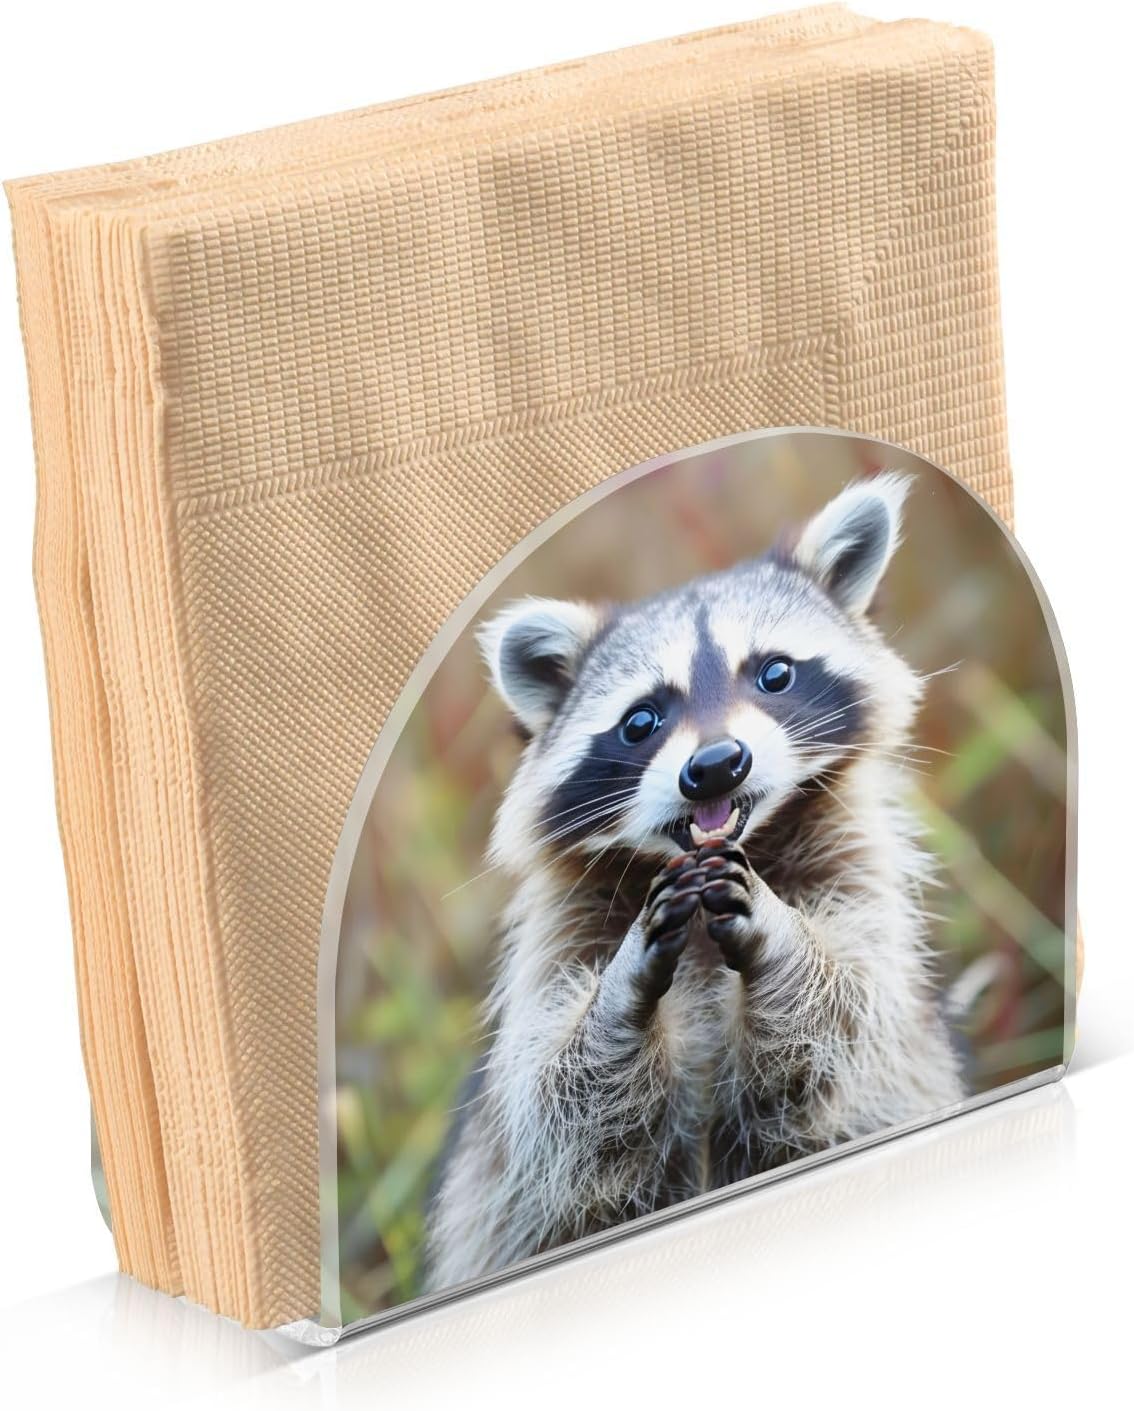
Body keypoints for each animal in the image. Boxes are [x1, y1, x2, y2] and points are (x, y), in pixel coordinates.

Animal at [425, 474, 965, 1291]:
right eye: (641, 720)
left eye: (775, 673)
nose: (714, 765)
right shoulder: (560, 937)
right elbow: (559, 1104)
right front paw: (618, 996)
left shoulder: (856, 869)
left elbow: (848, 1017)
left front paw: (782, 941)